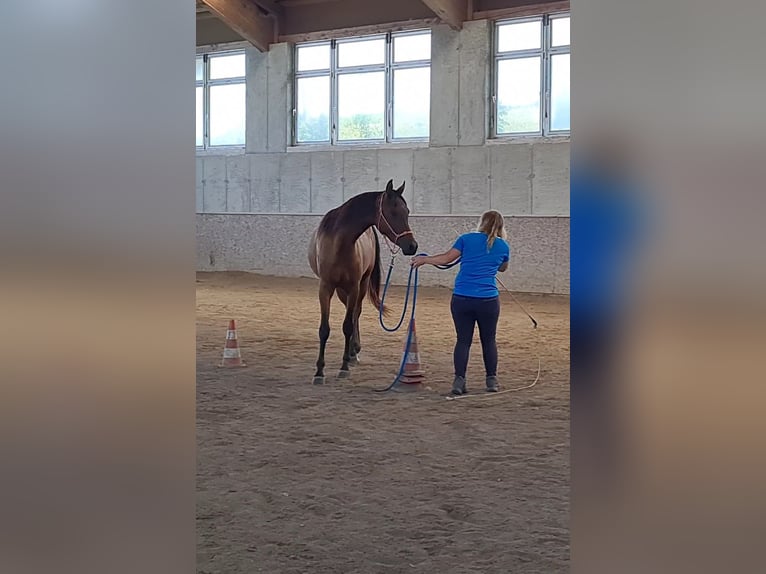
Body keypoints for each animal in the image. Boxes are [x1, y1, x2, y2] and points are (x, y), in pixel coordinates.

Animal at [308, 180, 420, 388]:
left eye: (407, 211)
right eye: (394, 212)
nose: (412, 246)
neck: (340, 243)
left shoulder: (354, 287)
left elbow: (347, 325)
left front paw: (344, 367)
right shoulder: (325, 288)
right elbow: (324, 329)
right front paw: (319, 371)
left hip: (360, 285)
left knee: (355, 314)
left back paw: (353, 352)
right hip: (341, 290)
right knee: (352, 313)